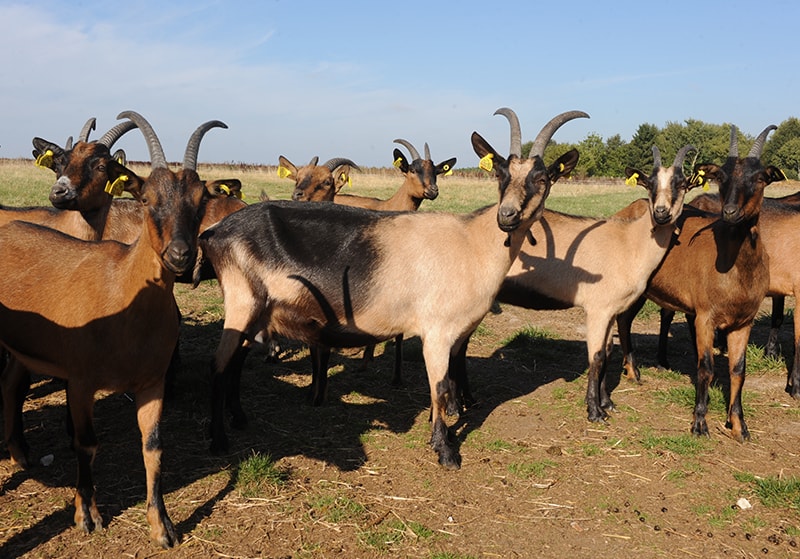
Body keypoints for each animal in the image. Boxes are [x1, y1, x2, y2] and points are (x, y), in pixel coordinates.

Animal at [0, 111, 212, 548]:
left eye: (202, 200)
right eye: (146, 199)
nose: (181, 255)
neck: (122, 289)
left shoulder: (152, 383)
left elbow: (153, 448)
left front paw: (162, 526)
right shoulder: (80, 382)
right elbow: (86, 444)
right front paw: (87, 515)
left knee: (11, 381)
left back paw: (20, 455)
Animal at [198, 108, 588, 468]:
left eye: (542, 178)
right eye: (500, 174)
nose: (506, 216)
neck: (473, 243)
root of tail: (216, 233)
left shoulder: (456, 331)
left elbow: (448, 382)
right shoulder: (437, 331)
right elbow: (440, 388)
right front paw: (445, 450)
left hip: (256, 312)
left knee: (235, 362)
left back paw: (239, 419)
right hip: (242, 303)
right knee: (218, 365)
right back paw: (218, 440)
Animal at [616, 123, 784, 442]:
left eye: (759, 178)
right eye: (721, 177)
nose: (730, 212)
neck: (735, 270)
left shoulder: (744, 321)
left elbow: (738, 369)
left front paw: (739, 426)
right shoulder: (705, 317)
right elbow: (705, 367)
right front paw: (700, 423)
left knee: (624, 319)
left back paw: (630, 369)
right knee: (621, 318)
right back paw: (632, 372)